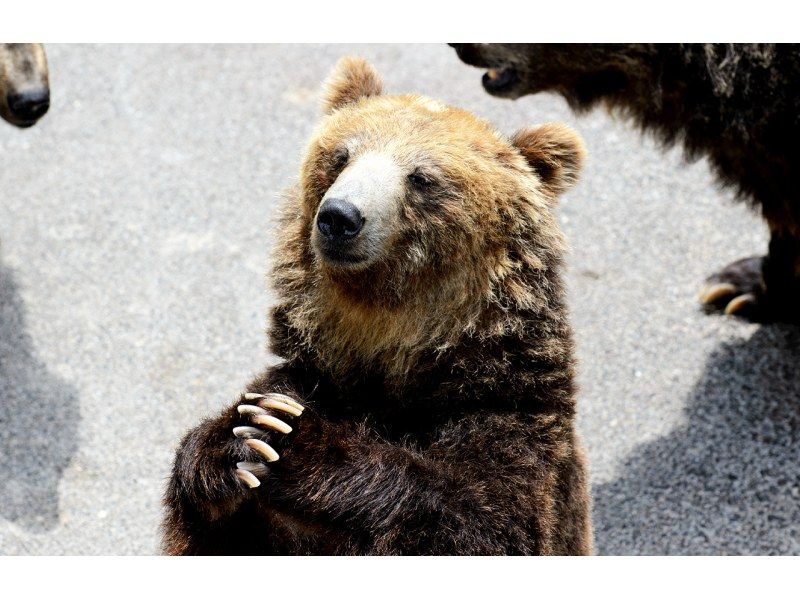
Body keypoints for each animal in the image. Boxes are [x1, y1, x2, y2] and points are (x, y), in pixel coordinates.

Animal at [159, 57, 592, 556]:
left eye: (422, 177)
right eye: (341, 156)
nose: (339, 216)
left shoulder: (508, 412)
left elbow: (487, 520)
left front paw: (287, 438)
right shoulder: (306, 376)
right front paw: (232, 441)